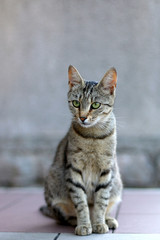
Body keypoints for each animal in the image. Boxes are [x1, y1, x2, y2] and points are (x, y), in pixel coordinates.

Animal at [40, 64, 122, 235]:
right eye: (76, 103)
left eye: (95, 105)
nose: (83, 117)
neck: (92, 137)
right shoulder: (74, 169)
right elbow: (81, 203)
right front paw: (85, 224)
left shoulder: (106, 170)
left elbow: (100, 202)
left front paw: (99, 223)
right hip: (54, 189)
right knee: (62, 218)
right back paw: (75, 221)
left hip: (117, 184)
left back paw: (108, 219)